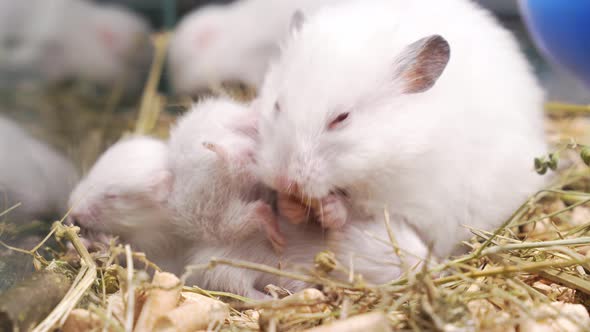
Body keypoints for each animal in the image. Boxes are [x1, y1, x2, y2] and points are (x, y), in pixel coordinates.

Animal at [254, 0, 552, 282]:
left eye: (341, 117)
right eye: (277, 105)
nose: (282, 180)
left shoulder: (427, 207)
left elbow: (360, 213)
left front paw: (330, 209)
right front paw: (290, 205)